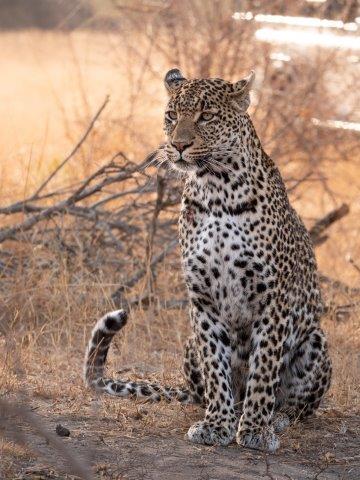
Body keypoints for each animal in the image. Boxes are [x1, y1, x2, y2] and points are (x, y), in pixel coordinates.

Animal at [84, 67, 332, 450]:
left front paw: (255, 430)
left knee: (299, 405)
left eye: (206, 116)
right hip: (188, 343)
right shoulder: (202, 299)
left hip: (316, 341)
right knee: (203, 390)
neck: (216, 189)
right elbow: (216, 367)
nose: (178, 145)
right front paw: (217, 424)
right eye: (172, 115)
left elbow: (264, 368)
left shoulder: (272, 299)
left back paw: (275, 418)